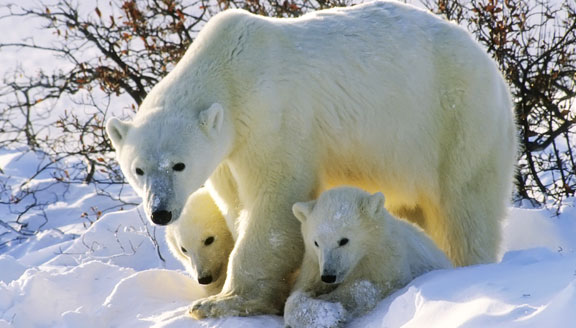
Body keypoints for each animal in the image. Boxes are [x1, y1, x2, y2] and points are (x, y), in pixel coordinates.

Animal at [286, 187, 452, 328]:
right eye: (316, 243)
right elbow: (297, 295)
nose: (328, 276)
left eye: (344, 240)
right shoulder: (314, 266)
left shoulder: (388, 261)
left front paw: (333, 306)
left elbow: (369, 287)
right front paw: (325, 314)